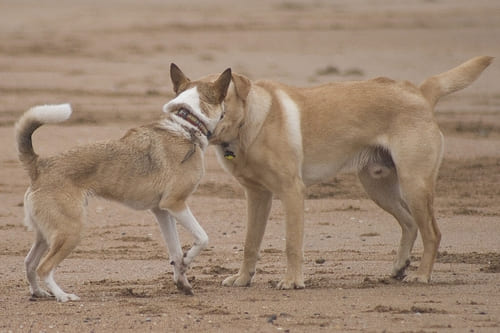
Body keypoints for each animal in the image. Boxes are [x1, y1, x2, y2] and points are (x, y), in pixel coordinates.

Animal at [16, 63, 231, 300]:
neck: (187, 126)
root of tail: (40, 165)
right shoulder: (175, 204)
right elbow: (202, 238)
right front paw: (188, 260)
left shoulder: (162, 211)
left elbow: (175, 252)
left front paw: (182, 279)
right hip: (71, 231)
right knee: (43, 267)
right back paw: (62, 296)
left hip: (46, 234)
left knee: (29, 263)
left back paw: (39, 292)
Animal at [210, 55, 492, 288]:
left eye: (221, 100)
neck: (248, 126)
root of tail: (419, 93)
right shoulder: (257, 195)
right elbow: (250, 243)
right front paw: (243, 278)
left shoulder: (292, 192)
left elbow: (292, 243)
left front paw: (292, 281)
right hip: (378, 187)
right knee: (410, 223)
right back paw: (400, 267)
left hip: (415, 185)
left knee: (432, 233)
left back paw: (422, 275)